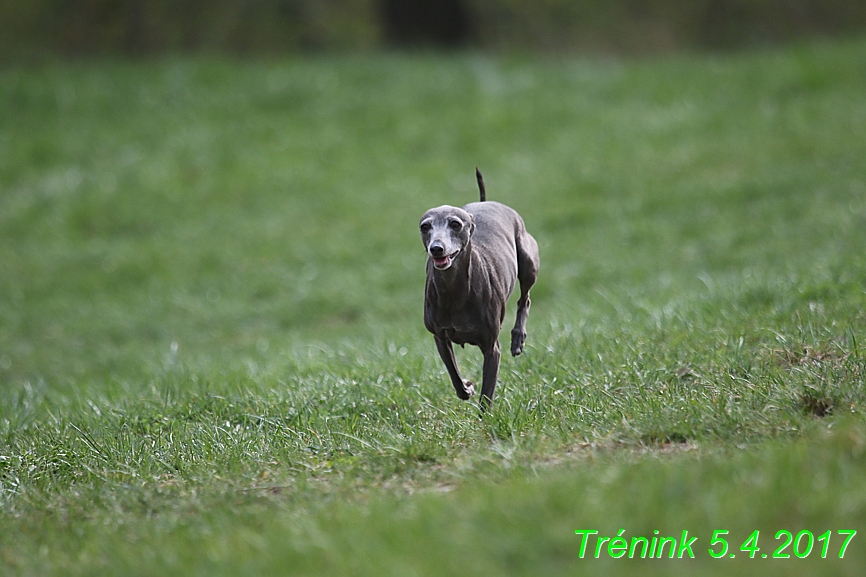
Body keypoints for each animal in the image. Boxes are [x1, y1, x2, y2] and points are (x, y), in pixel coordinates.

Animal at [420, 169, 540, 408]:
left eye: (455, 224)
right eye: (425, 226)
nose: (436, 249)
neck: (454, 291)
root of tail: (486, 202)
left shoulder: (491, 348)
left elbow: (487, 394)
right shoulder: (440, 338)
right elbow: (455, 376)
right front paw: (467, 387)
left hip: (528, 261)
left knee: (525, 298)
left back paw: (518, 339)